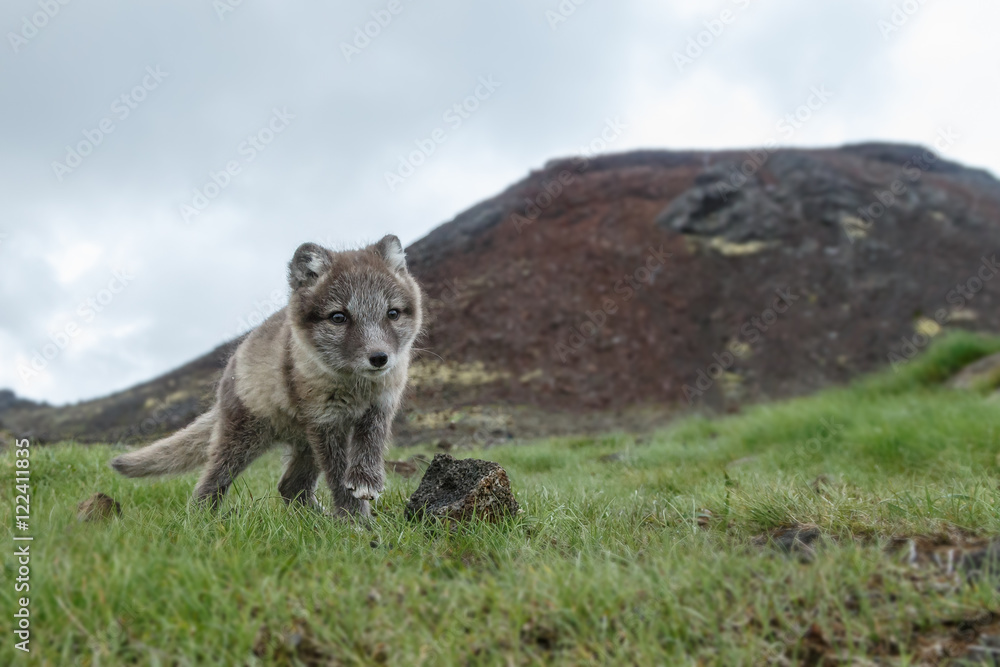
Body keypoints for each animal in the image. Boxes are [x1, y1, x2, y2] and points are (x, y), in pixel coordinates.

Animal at [110, 235, 424, 518]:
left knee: (290, 486)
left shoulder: (381, 405)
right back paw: (200, 521)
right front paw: (355, 522)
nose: (379, 358)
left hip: (305, 444)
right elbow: (337, 476)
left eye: (392, 313)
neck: (355, 386)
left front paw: (365, 483)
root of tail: (235, 360)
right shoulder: (326, 421)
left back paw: (317, 521)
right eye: (338, 317)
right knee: (210, 484)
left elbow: (371, 443)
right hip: (243, 440)